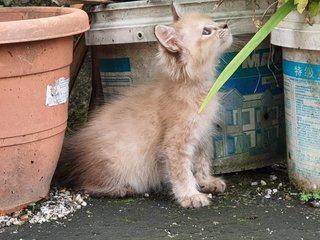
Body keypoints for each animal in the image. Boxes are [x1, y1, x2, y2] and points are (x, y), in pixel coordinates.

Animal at [59, 2, 232, 208]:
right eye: (206, 31)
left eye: (213, 22)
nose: (226, 25)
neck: (200, 88)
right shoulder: (176, 143)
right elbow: (182, 172)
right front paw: (190, 195)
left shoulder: (202, 137)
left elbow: (201, 163)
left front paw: (206, 182)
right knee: (85, 184)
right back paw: (119, 189)